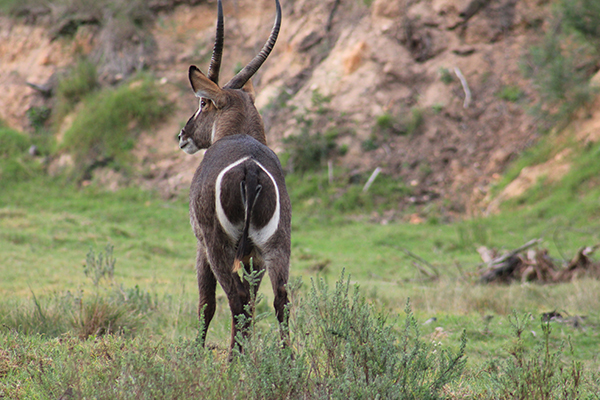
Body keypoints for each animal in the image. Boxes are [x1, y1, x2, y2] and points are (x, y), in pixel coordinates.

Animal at [176, 0, 290, 354]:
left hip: (219, 246)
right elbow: (255, 304)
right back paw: (286, 361)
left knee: (235, 298)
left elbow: (206, 303)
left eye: (202, 102)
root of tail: (250, 168)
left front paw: (196, 353)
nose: (181, 135)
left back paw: (231, 360)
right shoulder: (254, 255)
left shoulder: (200, 244)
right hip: (274, 246)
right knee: (280, 301)